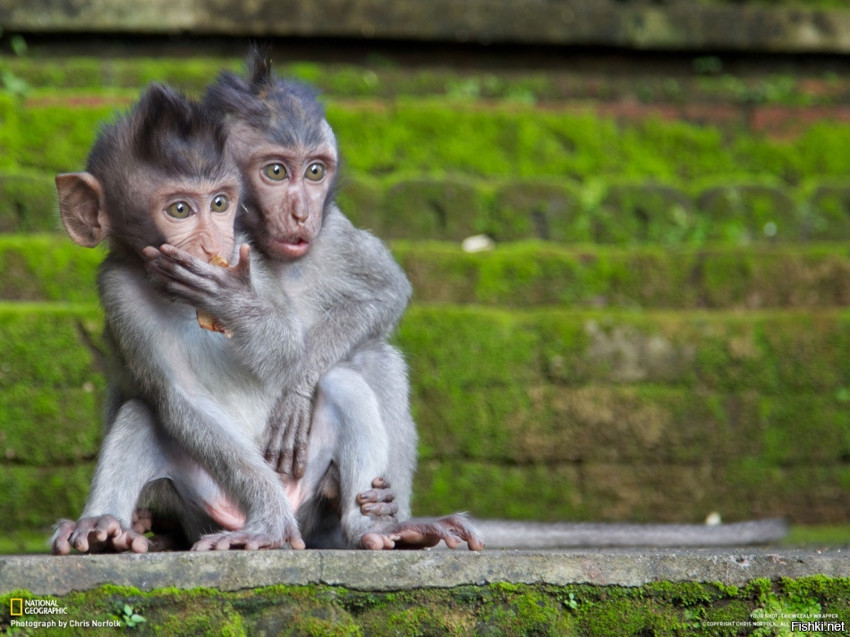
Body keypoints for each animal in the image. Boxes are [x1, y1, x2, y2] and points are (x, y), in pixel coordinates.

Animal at [49, 52, 480, 556]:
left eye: (315, 172)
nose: (301, 213)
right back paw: (110, 528)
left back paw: (383, 525)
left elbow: (375, 298)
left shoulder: (289, 242)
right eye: (180, 210)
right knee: (143, 413)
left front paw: (238, 311)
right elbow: (179, 395)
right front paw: (268, 522)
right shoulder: (117, 286)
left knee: (357, 369)